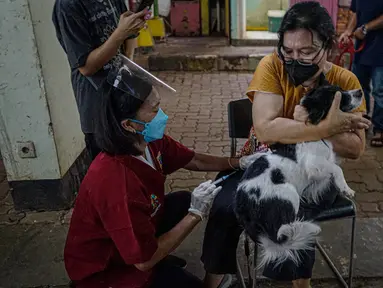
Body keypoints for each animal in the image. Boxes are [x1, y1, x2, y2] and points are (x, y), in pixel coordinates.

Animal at [234, 76, 364, 268]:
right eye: (339, 95)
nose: (360, 91)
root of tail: (244, 207)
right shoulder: (313, 164)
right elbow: (337, 168)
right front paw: (345, 188)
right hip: (289, 193)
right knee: (287, 224)